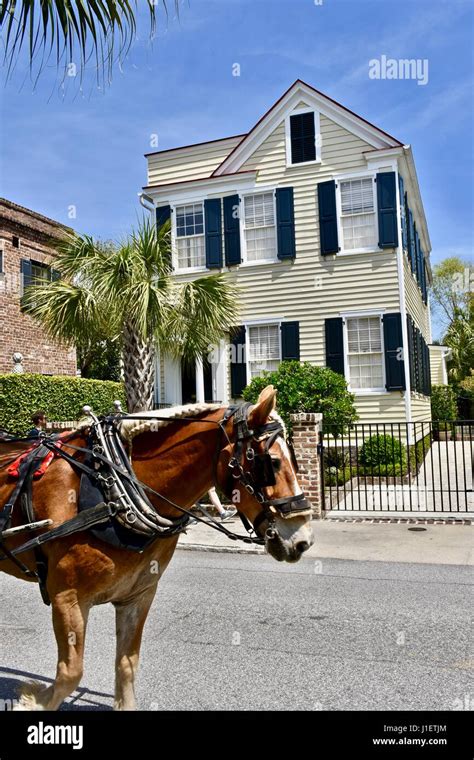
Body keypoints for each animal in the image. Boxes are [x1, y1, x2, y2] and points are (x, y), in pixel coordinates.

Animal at [0, 388, 314, 708]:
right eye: (271, 463)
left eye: (293, 460)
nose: (303, 539)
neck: (114, 487)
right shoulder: (67, 597)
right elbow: (69, 674)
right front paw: (31, 698)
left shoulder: (138, 595)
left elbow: (127, 665)